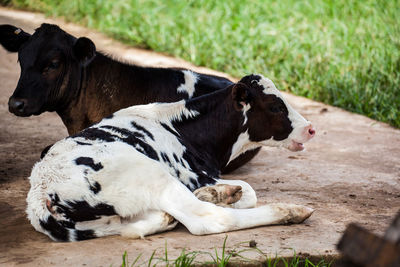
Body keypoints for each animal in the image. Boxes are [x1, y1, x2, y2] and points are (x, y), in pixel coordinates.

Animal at [27, 74, 316, 242]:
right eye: (276, 106)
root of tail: (41, 193)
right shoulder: (192, 174)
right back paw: (290, 211)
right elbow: (248, 190)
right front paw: (218, 193)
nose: (311, 128)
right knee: (208, 220)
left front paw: (215, 193)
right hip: (150, 175)